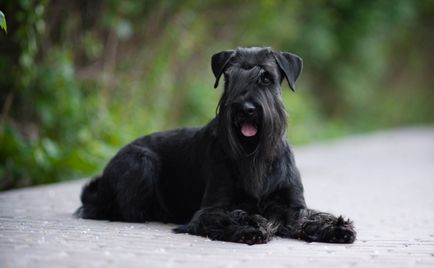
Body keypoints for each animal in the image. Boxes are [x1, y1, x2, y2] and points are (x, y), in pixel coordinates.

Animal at [77, 46, 356, 245]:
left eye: (266, 77)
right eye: (229, 78)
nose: (245, 109)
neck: (256, 155)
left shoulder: (292, 205)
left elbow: (308, 217)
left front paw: (337, 228)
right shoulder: (211, 209)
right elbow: (229, 215)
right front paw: (250, 226)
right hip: (141, 162)